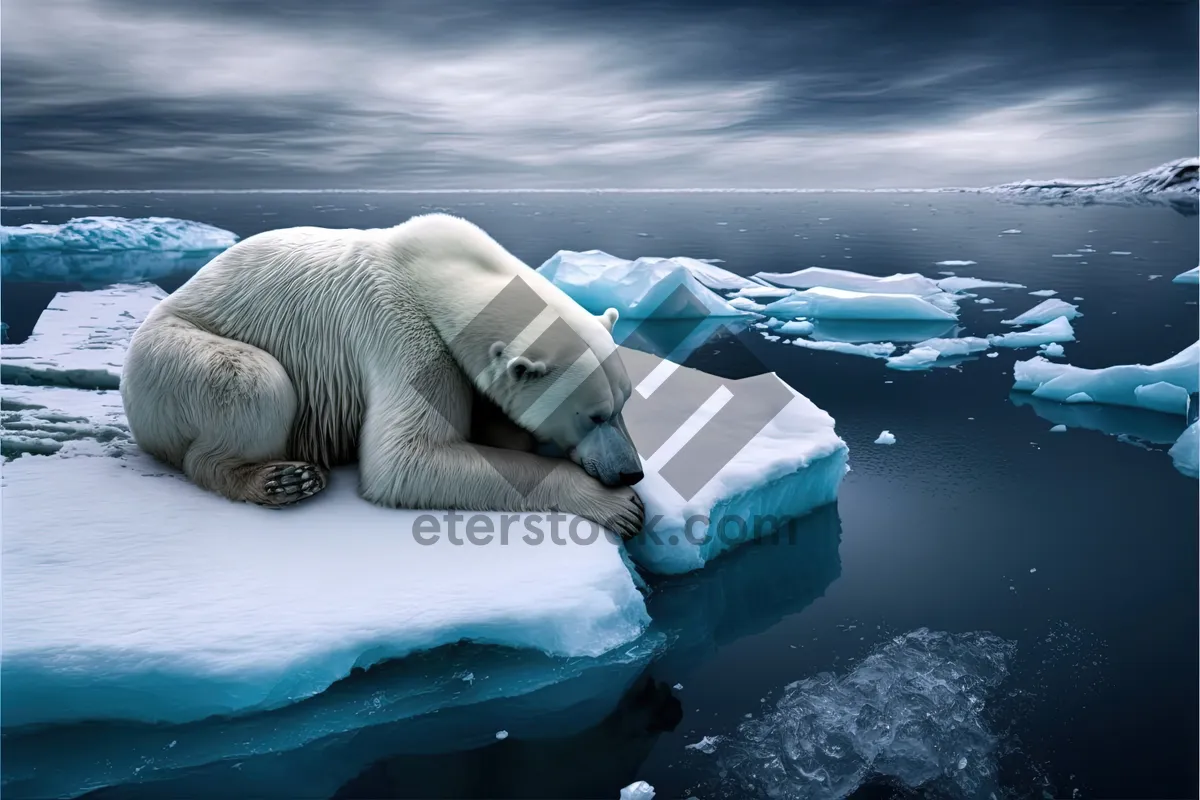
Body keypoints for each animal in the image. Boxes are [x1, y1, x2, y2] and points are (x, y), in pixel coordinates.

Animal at [121, 209, 648, 542]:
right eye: (592, 416)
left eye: (624, 406)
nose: (631, 472)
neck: (437, 269)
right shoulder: (402, 333)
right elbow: (406, 458)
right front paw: (619, 506)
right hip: (170, 355)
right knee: (253, 379)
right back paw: (281, 479)